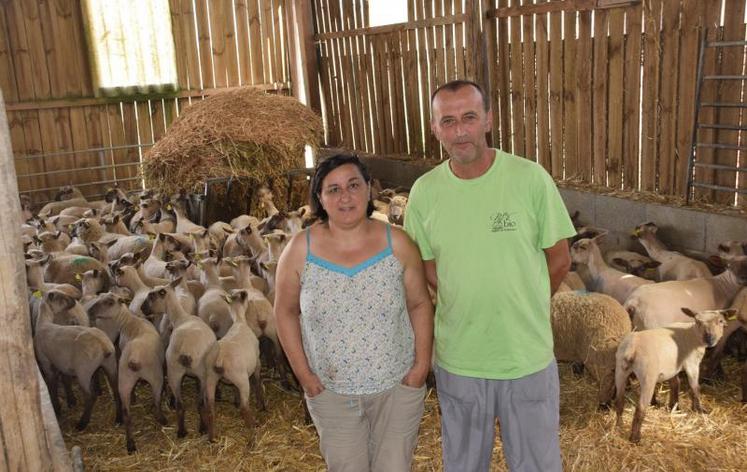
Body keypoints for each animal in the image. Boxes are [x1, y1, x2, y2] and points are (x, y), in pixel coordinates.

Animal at [34, 290, 120, 430]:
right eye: (61, 297)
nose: (74, 301)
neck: (44, 323)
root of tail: (104, 345)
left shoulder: (46, 362)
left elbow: (52, 386)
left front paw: (57, 408)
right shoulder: (62, 364)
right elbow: (65, 379)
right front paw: (71, 401)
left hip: (83, 371)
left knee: (90, 396)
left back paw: (82, 423)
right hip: (111, 364)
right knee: (116, 390)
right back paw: (119, 418)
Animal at [87, 294, 167, 452]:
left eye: (109, 302)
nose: (89, 311)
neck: (128, 321)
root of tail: (134, 359)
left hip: (124, 379)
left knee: (126, 413)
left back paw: (130, 444)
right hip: (155, 377)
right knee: (156, 400)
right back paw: (161, 420)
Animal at [205, 288, 266, 442]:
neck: (239, 321)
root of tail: (219, 358)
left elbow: (234, 389)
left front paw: (236, 400)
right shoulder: (257, 361)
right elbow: (257, 380)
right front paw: (261, 404)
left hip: (210, 379)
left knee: (210, 408)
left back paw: (212, 437)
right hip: (242, 379)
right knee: (245, 408)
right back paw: (253, 428)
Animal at [612, 306, 732, 442]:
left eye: (720, 321)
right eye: (698, 321)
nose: (709, 339)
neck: (692, 334)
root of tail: (631, 349)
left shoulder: (673, 367)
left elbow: (675, 383)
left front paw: (674, 406)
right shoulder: (692, 364)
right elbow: (695, 387)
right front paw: (699, 409)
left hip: (620, 370)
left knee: (619, 400)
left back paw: (619, 426)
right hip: (648, 375)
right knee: (640, 408)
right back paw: (635, 438)